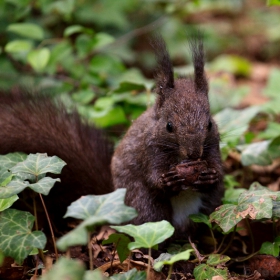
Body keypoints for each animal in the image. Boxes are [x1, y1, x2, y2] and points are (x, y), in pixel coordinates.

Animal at [0, 36, 223, 235]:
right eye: (169, 126)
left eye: (209, 124)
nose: (194, 154)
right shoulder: (149, 150)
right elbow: (153, 177)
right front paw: (167, 180)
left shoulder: (213, 146)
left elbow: (218, 169)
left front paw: (210, 176)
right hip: (143, 204)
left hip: (210, 208)